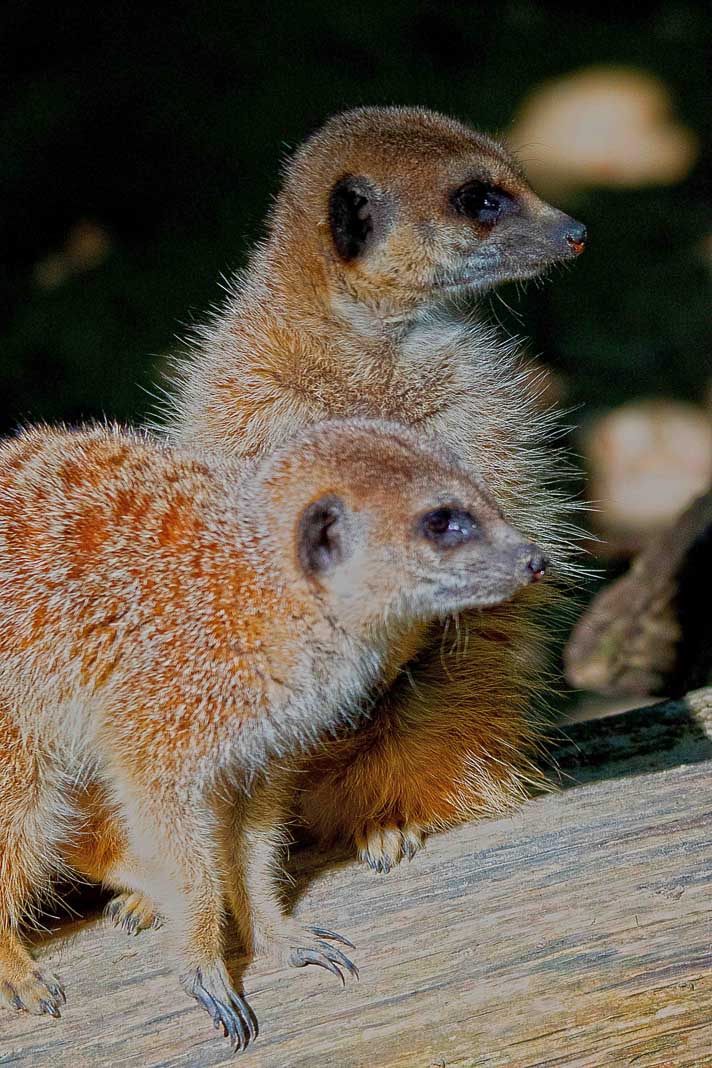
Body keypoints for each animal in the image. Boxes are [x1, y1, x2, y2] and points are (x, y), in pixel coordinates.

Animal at [0, 419, 546, 1049]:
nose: (536, 559)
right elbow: (164, 815)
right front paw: (202, 958)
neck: (257, 594)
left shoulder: (268, 744)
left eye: (481, 495)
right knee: (24, 807)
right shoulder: (165, 709)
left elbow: (253, 832)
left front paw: (276, 932)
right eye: (443, 522)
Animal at [153, 106, 586, 869]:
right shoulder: (247, 395)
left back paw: (388, 823)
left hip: (460, 701)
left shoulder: (475, 401)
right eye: (480, 199)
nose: (577, 231)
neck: (365, 347)